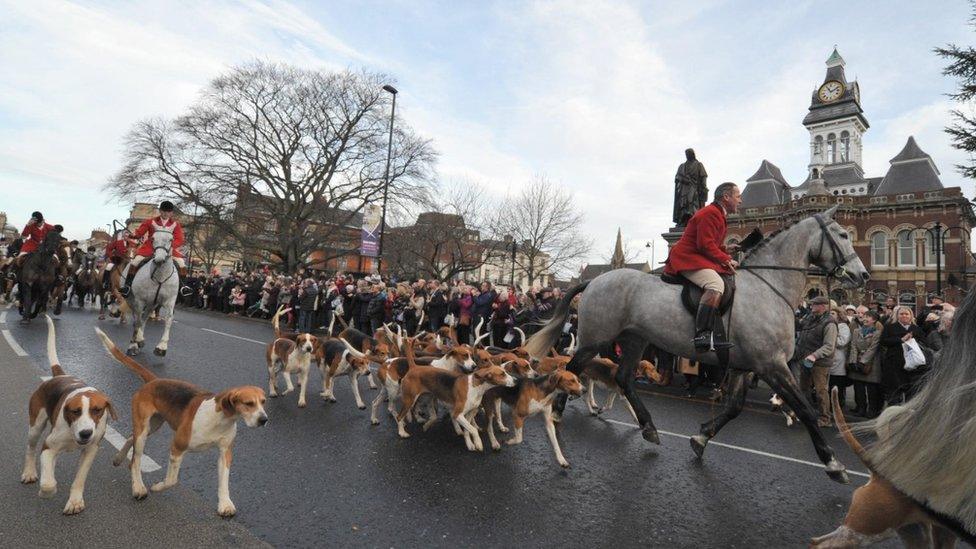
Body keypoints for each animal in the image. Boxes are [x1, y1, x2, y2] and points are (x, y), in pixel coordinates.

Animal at [124, 227, 177, 356]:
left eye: (171, 239)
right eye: (153, 238)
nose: (159, 259)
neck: (160, 275)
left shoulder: (169, 301)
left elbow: (169, 319)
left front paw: (162, 347)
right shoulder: (139, 301)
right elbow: (138, 321)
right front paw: (133, 345)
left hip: (152, 304)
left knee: (144, 318)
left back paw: (139, 339)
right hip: (131, 300)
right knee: (137, 319)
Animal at [528, 203, 868, 482]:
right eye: (842, 234)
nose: (862, 275)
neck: (768, 288)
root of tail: (594, 280)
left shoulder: (746, 366)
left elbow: (734, 408)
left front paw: (702, 437)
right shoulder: (772, 365)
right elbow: (806, 410)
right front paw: (833, 463)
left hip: (635, 341)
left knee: (623, 378)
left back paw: (648, 427)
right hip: (596, 339)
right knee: (573, 367)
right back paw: (558, 411)